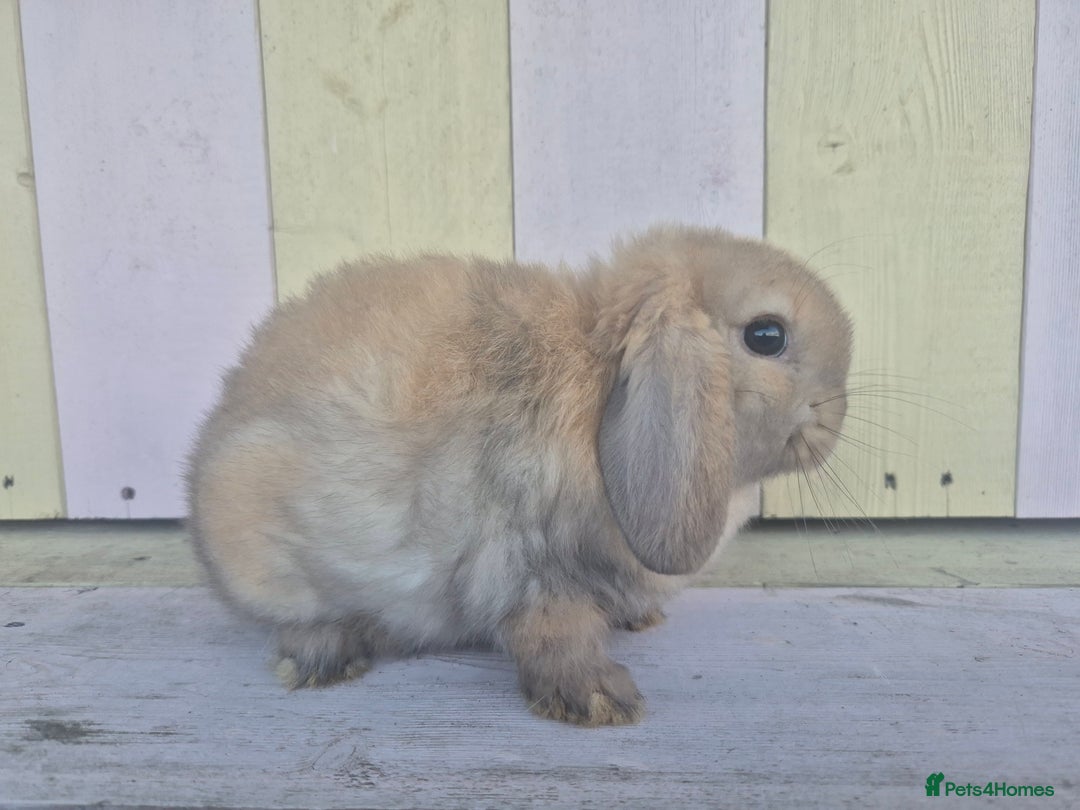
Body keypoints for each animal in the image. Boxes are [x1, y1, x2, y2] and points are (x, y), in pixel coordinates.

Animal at [186, 224, 852, 727]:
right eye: (766, 335)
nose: (835, 416)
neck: (600, 381)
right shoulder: (528, 562)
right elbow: (555, 633)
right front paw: (602, 700)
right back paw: (323, 656)